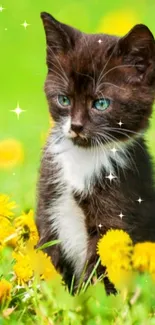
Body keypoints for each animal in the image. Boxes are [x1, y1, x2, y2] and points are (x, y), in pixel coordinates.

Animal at [35, 12, 155, 292]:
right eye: (64, 100)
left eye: (101, 104)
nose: (76, 126)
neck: (83, 157)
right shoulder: (48, 200)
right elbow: (47, 252)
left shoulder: (117, 212)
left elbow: (100, 269)